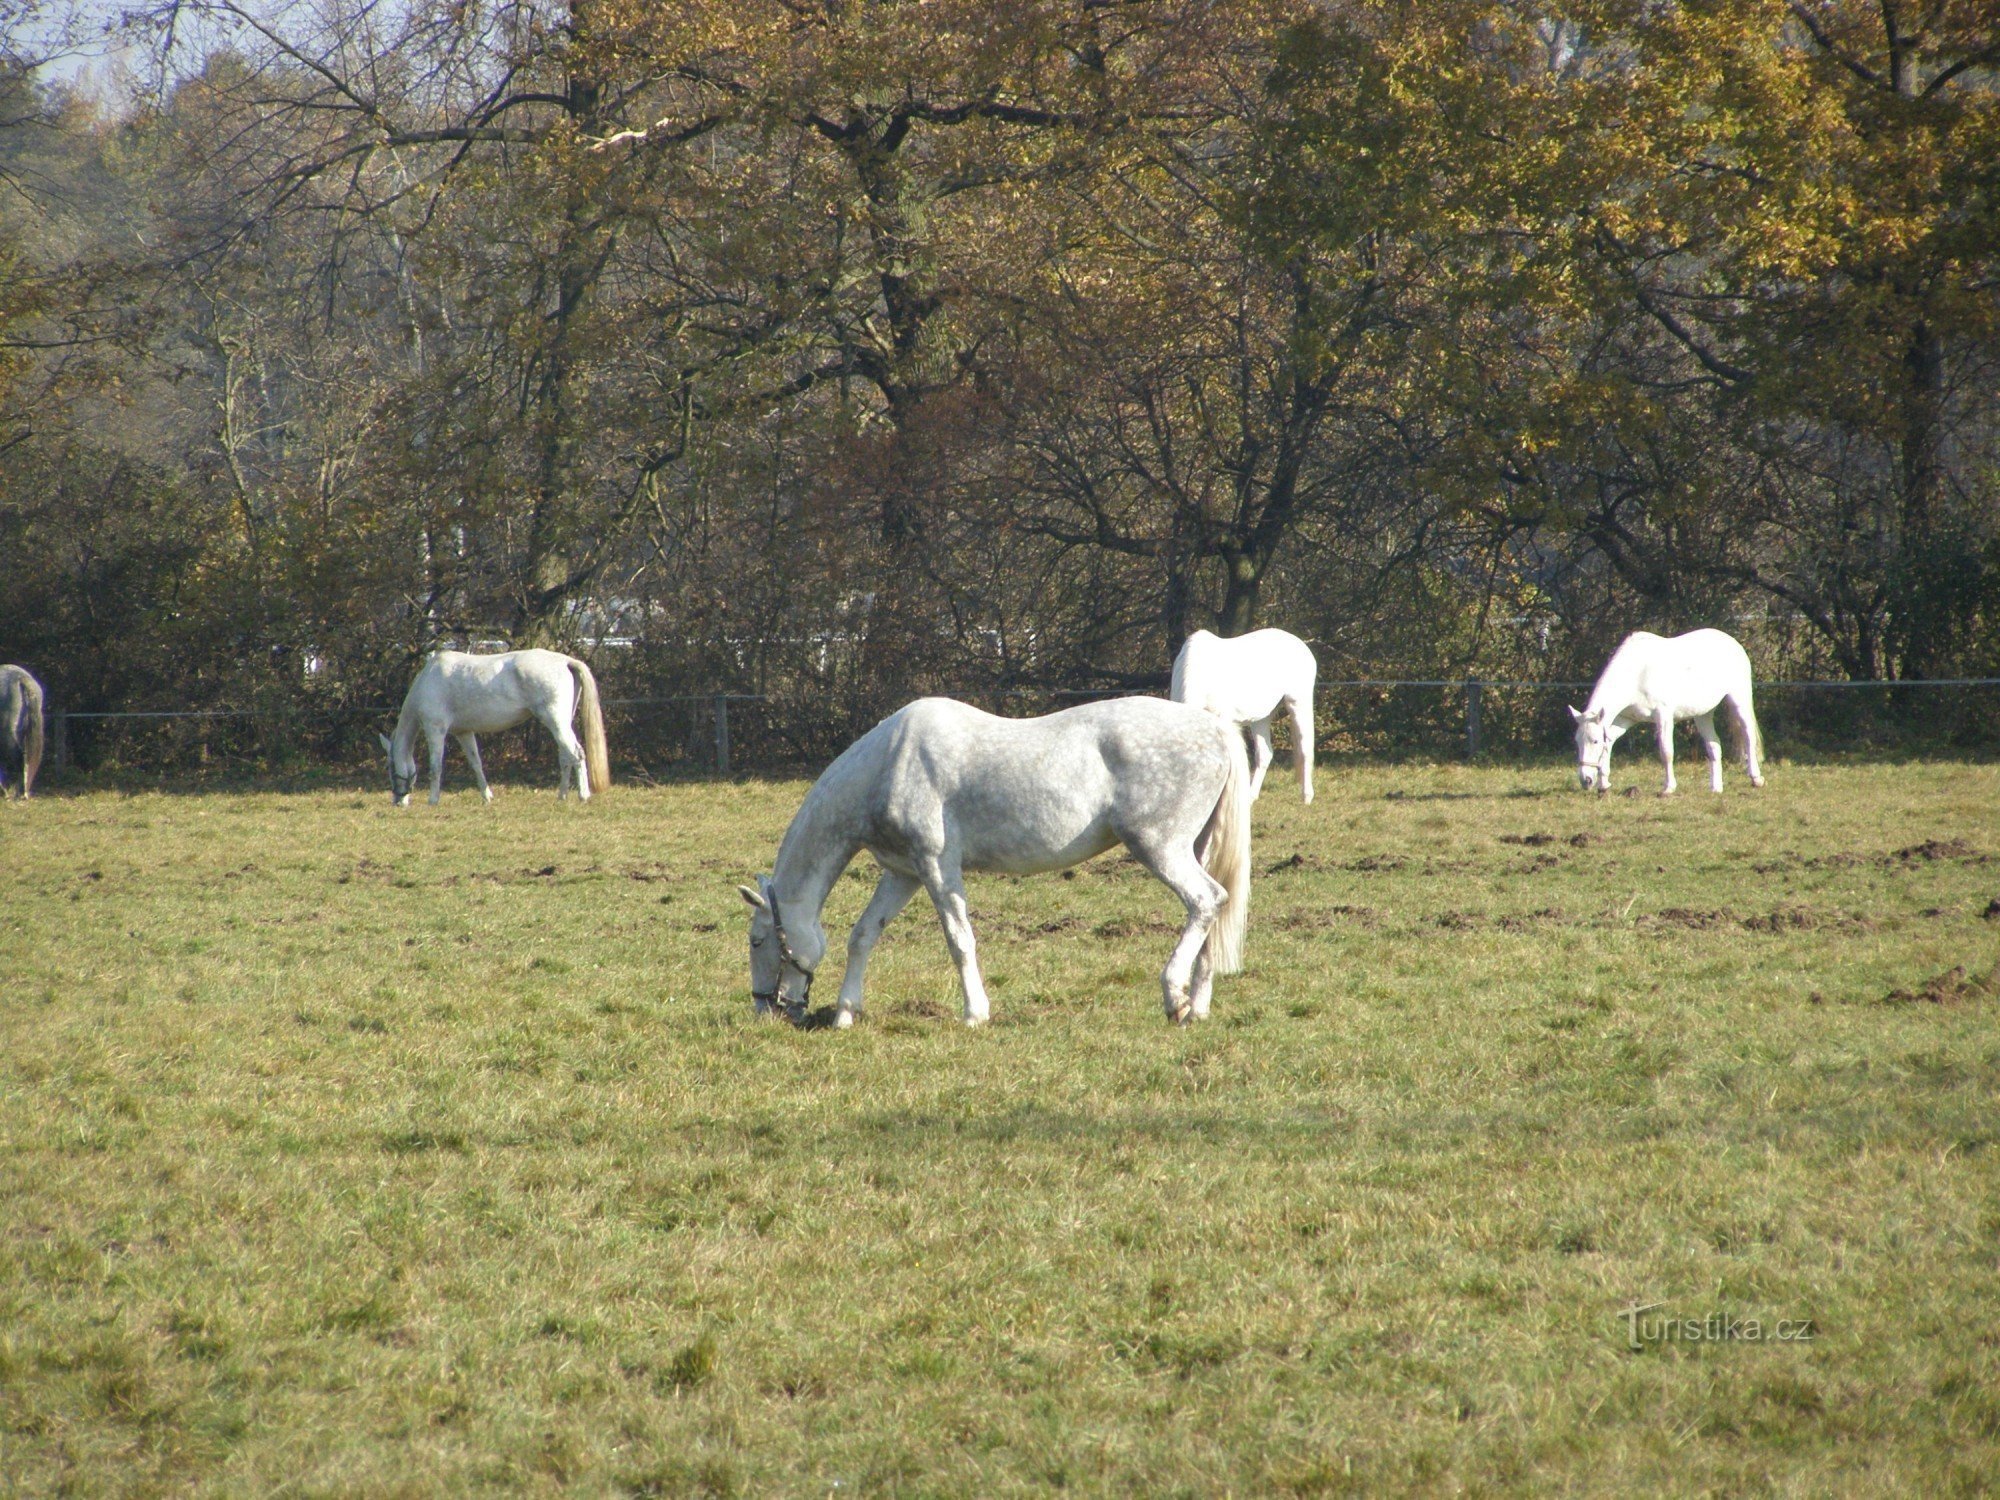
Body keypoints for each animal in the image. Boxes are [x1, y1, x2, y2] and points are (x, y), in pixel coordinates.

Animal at [376, 648, 608, 812]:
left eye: (389, 767)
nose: (398, 801)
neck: (429, 680)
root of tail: (566, 662)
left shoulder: (435, 730)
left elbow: (435, 767)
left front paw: (433, 800)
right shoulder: (464, 732)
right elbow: (476, 764)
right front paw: (487, 796)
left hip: (556, 721)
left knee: (576, 754)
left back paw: (583, 795)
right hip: (561, 723)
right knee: (566, 757)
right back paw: (562, 796)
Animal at [744, 696, 1256, 1032]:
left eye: (757, 940)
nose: (766, 1009)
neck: (889, 764)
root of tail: (1214, 728)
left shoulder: (937, 868)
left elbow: (959, 940)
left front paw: (975, 1014)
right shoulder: (903, 873)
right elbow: (863, 935)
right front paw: (847, 1013)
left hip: (1159, 846)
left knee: (1205, 900)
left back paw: (1174, 996)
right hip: (1194, 847)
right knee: (1213, 908)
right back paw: (1197, 1006)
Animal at [1168, 628, 1320, 804]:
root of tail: (1299, 643)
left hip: (1299, 702)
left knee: (1305, 748)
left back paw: (1306, 797)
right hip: (1262, 717)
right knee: (1265, 753)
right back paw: (1251, 796)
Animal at [1576, 628, 1768, 800]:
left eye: (1594, 741)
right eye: (1577, 742)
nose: (1586, 780)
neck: (1637, 673)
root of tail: (1733, 642)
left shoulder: (1663, 717)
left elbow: (1666, 751)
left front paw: (1668, 788)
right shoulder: (1626, 719)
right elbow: (1609, 743)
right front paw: (1603, 785)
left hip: (1739, 700)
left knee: (1748, 736)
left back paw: (1756, 778)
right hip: (1703, 714)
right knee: (1714, 745)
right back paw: (1716, 788)